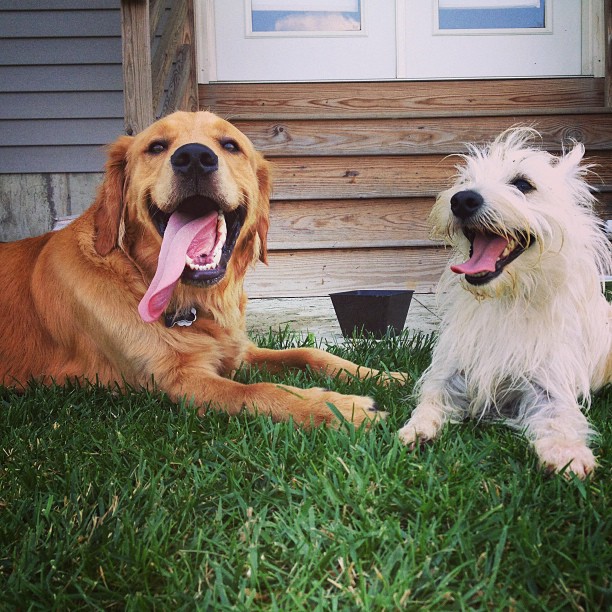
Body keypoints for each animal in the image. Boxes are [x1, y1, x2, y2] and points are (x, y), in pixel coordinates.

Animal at [400, 129, 608, 478]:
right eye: (465, 180)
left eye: (523, 184)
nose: (462, 199)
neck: (505, 299)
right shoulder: (452, 371)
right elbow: (431, 398)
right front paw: (419, 428)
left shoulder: (547, 385)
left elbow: (559, 419)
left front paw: (568, 454)